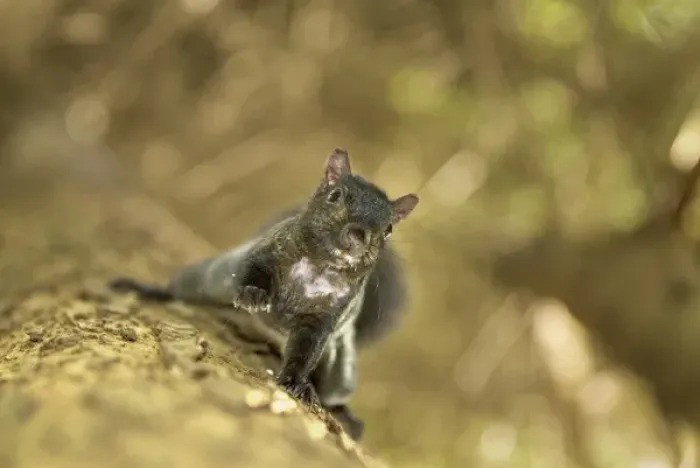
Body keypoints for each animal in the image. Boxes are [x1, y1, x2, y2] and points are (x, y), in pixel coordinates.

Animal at [108, 148, 419, 440]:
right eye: (335, 195)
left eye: (389, 229)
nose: (357, 236)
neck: (321, 268)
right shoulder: (265, 252)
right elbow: (254, 272)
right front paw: (254, 295)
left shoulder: (324, 318)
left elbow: (305, 352)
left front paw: (296, 382)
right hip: (207, 278)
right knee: (180, 287)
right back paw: (148, 290)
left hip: (340, 372)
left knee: (333, 391)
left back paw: (345, 414)